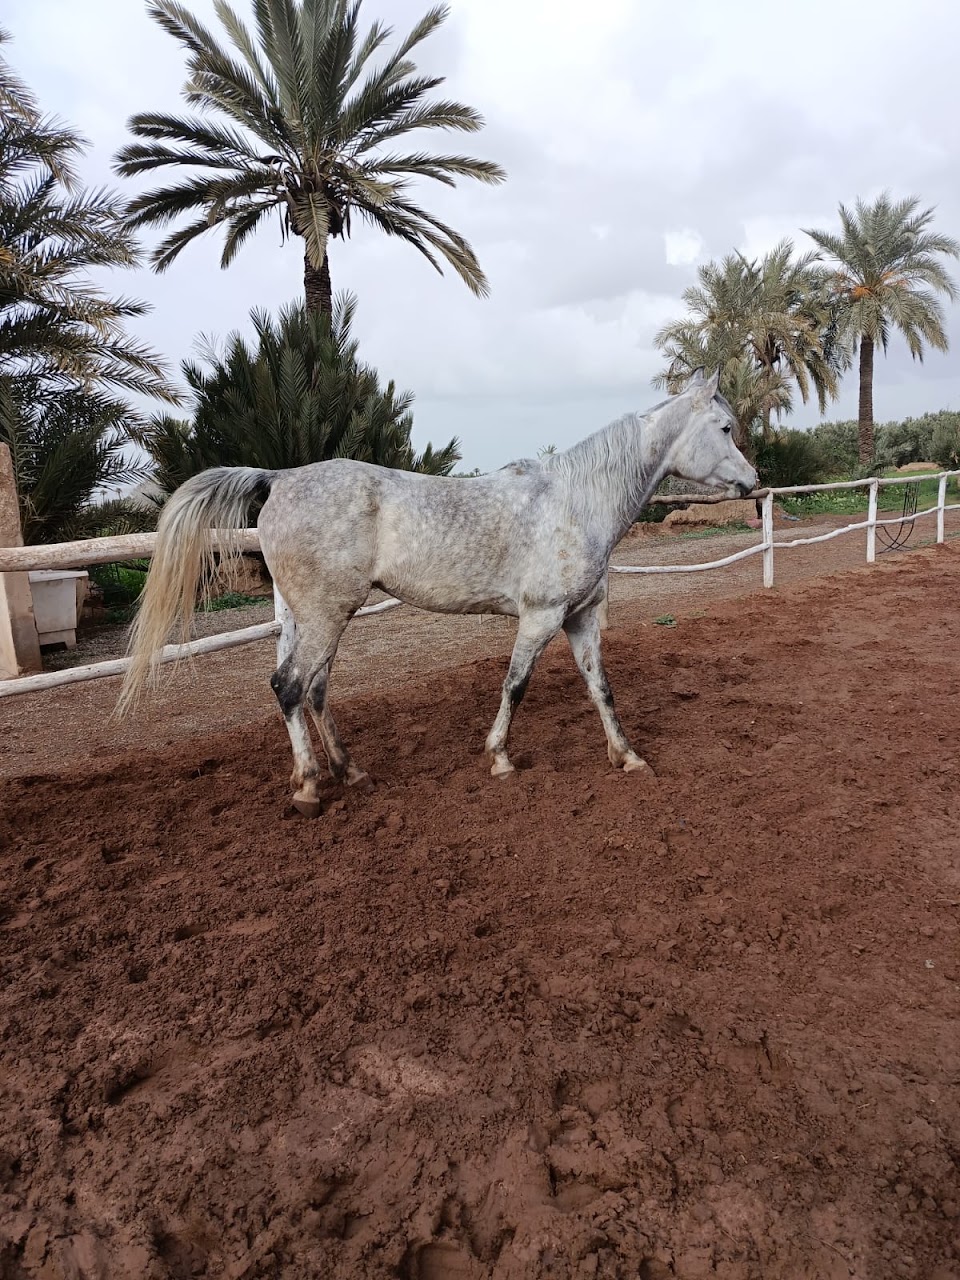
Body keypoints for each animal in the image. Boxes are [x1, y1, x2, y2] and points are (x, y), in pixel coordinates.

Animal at [118, 368, 757, 817]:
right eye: (725, 428)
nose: (753, 481)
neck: (577, 501)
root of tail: (279, 478)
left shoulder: (581, 617)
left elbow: (601, 688)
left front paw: (628, 757)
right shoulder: (541, 616)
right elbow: (515, 685)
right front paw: (499, 759)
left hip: (312, 618)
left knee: (313, 691)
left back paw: (348, 772)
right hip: (326, 616)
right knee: (289, 686)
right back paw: (308, 790)